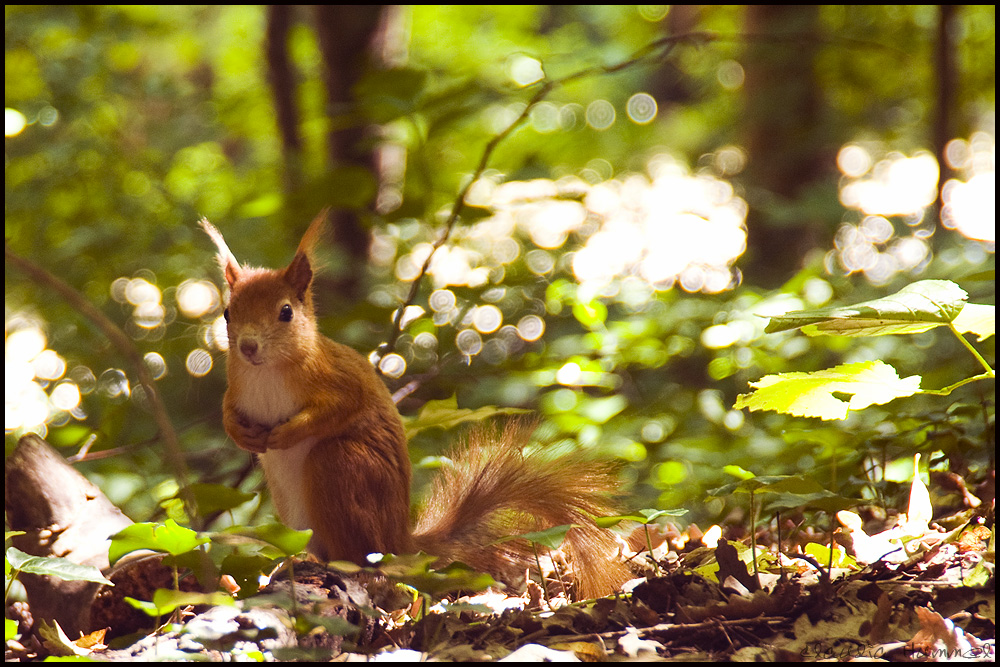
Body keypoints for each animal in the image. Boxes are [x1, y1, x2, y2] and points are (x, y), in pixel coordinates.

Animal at [199, 214, 628, 600]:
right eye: (227, 312)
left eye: (286, 312)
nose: (248, 347)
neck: (267, 372)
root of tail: (399, 543)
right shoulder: (236, 391)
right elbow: (226, 414)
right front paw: (243, 435)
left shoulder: (340, 381)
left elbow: (337, 410)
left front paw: (287, 432)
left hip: (341, 466)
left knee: (362, 552)